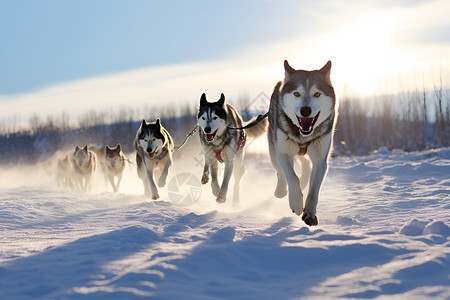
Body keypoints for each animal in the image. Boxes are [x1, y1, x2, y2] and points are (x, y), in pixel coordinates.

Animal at [268, 60, 338, 225]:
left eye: (317, 94)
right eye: (296, 93)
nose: (305, 110)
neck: (303, 134)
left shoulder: (320, 160)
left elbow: (313, 191)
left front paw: (309, 213)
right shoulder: (283, 153)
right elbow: (291, 177)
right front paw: (296, 203)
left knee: (305, 164)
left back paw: (304, 181)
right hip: (274, 150)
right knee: (280, 171)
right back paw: (281, 190)